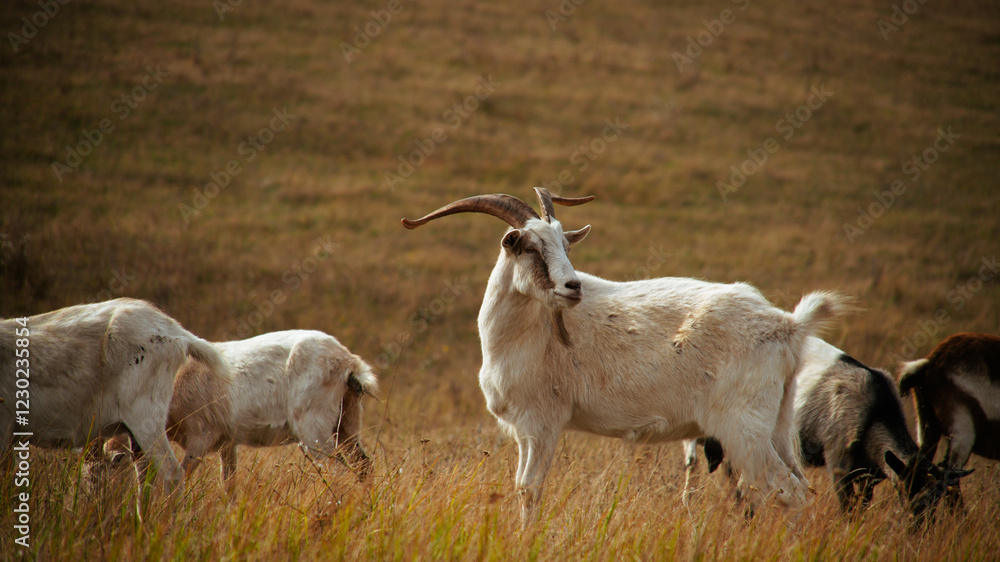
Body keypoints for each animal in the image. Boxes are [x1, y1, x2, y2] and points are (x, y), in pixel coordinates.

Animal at [160, 330, 378, 483]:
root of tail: (350, 363)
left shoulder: (199, 438)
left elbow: (180, 476)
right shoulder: (228, 444)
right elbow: (229, 484)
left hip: (314, 428)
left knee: (336, 470)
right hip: (347, 422)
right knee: (364, 465)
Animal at [402, 188, 849, 526]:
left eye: (565, 244)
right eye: (529, 246)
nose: (573, 286)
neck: (526, 334)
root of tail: (787, 325)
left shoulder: (542, 423)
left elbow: (529, 489)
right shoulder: (525, 432)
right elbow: (521, 487)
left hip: (743, 430)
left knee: (787, 491)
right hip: (777, 424)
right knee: (798, 485)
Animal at [683, 337, 970, 516]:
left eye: (937, 498)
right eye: (906, 490)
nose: (919, 526)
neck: (875, 412)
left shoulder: (869, 475)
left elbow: (862, 506)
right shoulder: (839, 468)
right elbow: (848, 509)